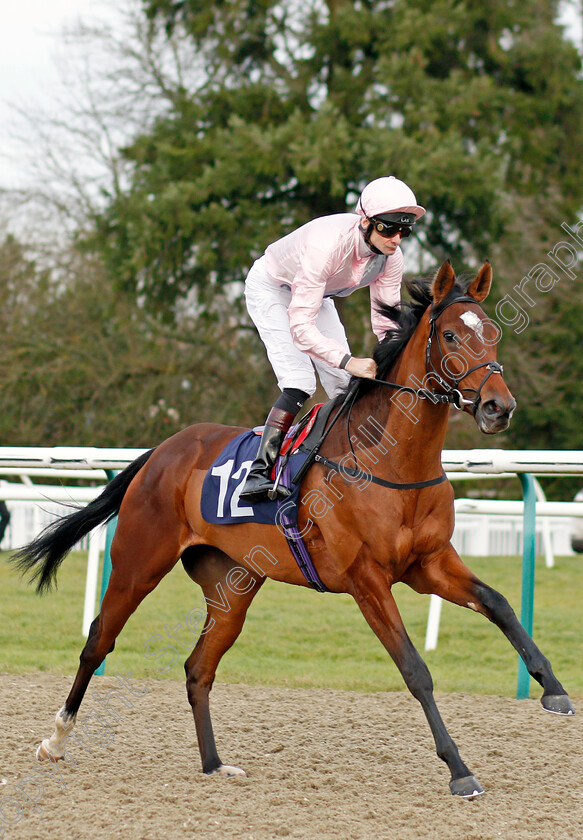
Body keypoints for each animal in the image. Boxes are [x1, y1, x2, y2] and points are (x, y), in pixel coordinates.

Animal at [12, 260, 576, 796]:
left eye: (493, 333)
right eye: (453, 336)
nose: (499, 407)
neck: (393, 461)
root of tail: (164, 449)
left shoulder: (429, 564)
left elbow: (499, 603)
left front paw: (554, 690)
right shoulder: (367, 578)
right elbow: (415, 669)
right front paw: (459, 770)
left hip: (232, 587)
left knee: (198, 668)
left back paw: (214, 765)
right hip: (137, 563)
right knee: (98, 641)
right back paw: (55, 741)